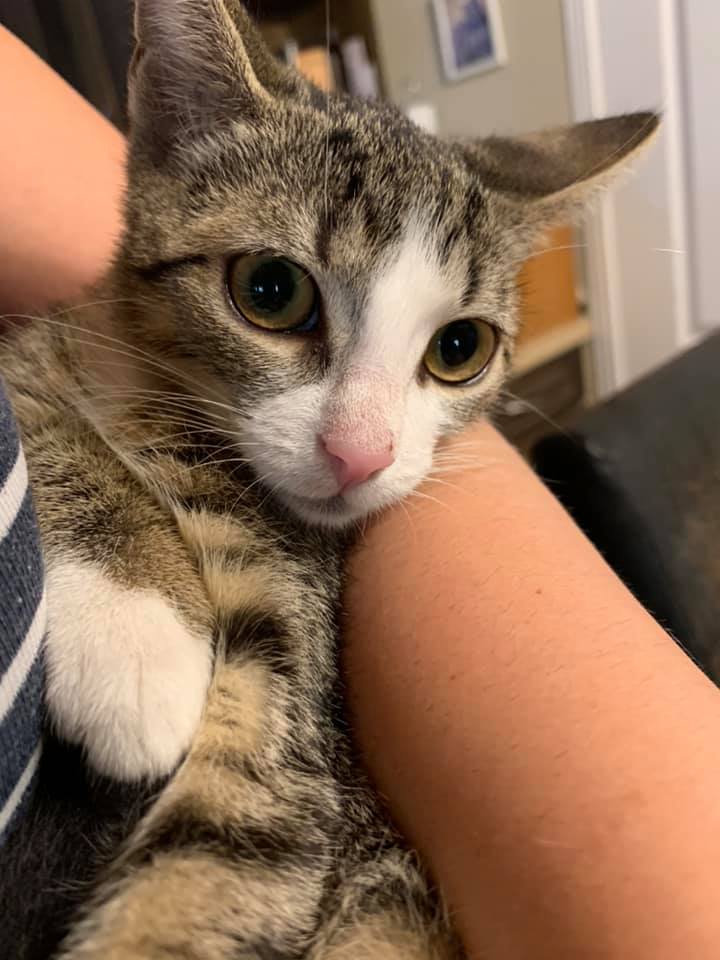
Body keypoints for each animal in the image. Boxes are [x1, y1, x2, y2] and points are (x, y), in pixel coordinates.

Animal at [0, 1, 658, 957]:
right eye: (270, 291)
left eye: (460, 348)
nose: (361, 453)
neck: (171, 420)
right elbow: (36, 411)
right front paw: (136, 630)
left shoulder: (291, 672)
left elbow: (223, 858)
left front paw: (136, 646)